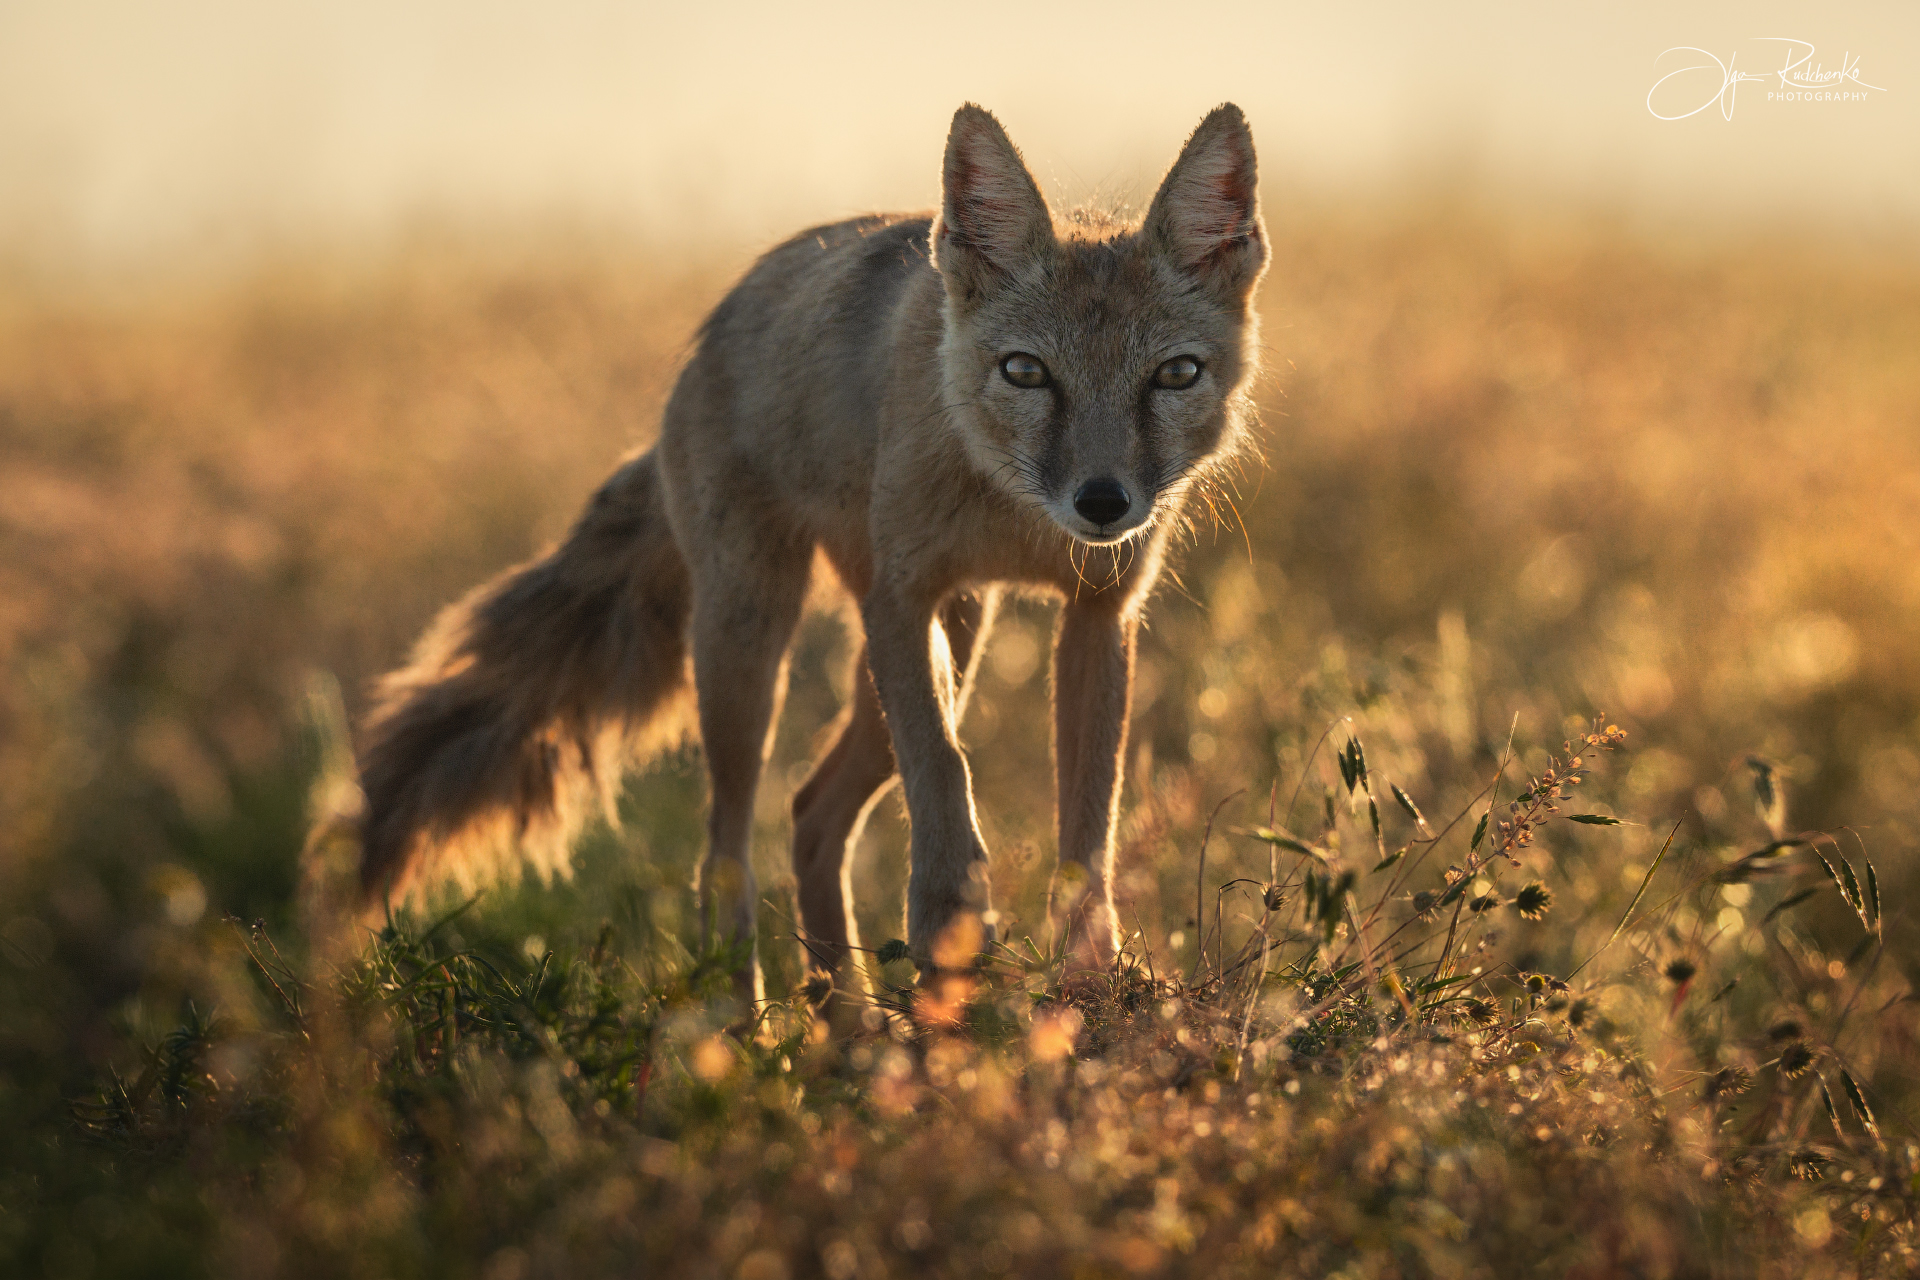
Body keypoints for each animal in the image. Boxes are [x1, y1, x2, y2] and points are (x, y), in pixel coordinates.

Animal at [350, 102, 1270, 1016]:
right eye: (1026, 372)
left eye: (1174, 375)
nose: (1102, 502)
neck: (1016, 518)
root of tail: (710, 332)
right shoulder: (903, 600)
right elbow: (944, 767)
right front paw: (952, 924)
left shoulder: (1099, 613)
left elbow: (1087, 824)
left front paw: (1088, 978)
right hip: (753, 650)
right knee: (724, 849)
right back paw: (743, 1015)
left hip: (949, 641)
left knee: (810, 813)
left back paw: (847, 1014)